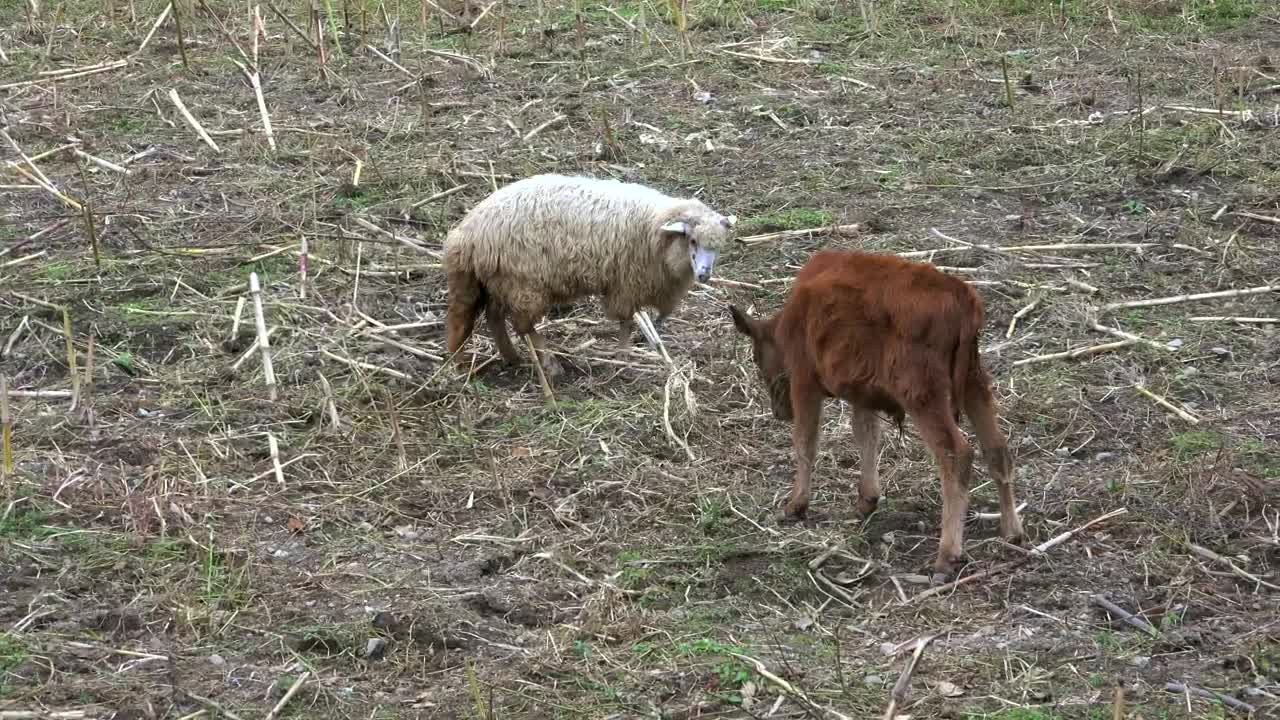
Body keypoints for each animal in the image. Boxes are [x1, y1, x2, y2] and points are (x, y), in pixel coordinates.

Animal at [442, 174, 737, 379]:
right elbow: (626, 321)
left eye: (718, 247)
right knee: (521, 324)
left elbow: (651, 318)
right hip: (524, 283)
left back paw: (511, 357)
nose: (704, 274)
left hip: (498, 280)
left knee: (493, 316)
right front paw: (623, 355)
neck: (656, 226)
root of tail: (467, 234)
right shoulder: (627, 284)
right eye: (693, 241)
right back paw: (549, 364)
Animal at [737, 249, 1024, 579]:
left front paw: (796, 505)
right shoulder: (861, 391)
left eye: (756, 357)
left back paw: (947, 556)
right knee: (996, 447)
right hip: (974, 382)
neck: (794, 317)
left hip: (923, 395)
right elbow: (866, 435)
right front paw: (867, 500)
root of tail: (963, 297)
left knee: (956, 454)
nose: (779, 411)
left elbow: (806, 442)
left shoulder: (804, 380)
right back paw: (1013, 532)